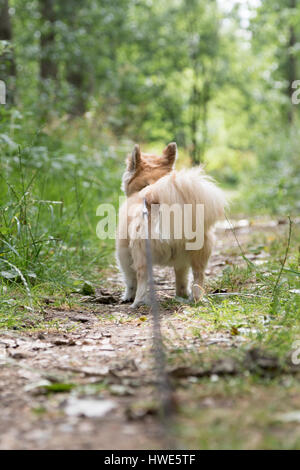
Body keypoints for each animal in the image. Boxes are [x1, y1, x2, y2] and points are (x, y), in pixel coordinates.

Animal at [116, 141, 226, 306]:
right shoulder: (181, 262)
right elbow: (182, 279)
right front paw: (181, 294)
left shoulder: (124, 252)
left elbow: (130, 279)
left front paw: (128, 296)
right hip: (198, 254)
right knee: (198, 276)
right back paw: (196, 299)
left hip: (141, 253)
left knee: (142, 278)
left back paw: (138, 303)